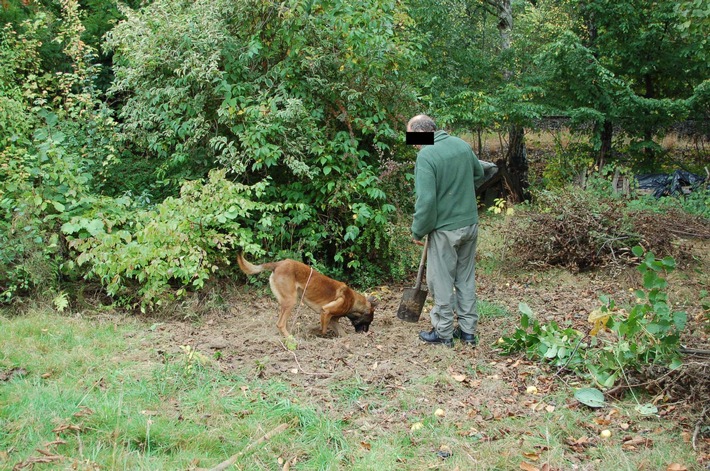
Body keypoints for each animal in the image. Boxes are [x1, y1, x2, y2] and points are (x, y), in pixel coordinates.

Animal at [238, 254, 376, 340]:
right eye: (369, 321)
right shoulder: (326, 312)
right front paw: (315, 334)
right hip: (291, 301)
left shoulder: (332, 320)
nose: (367, 333)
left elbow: (342, 333)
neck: (354, 302)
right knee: (280, 324)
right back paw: (290, 338)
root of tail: (278, 264)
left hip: (286, 302)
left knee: (282, 322)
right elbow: (323, 330)